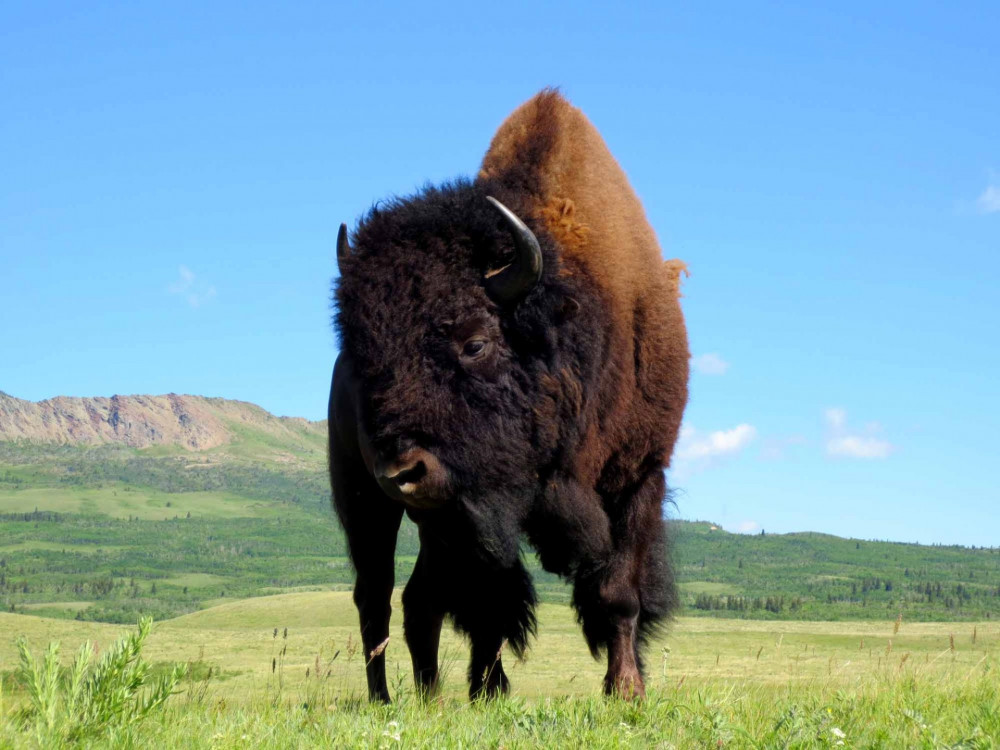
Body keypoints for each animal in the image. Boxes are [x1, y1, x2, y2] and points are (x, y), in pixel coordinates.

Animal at [328, 89, 688, 704]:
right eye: (366, 352)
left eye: (475, 342)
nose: (402, 472)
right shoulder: (479, 511)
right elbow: (491, 601)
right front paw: (490, 690)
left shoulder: (639, 475)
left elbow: (617, 592)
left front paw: (626, 691)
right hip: (366, 502)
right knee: (375, 597)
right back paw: (385, 700)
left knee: (418, 601)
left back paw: (431, 698)